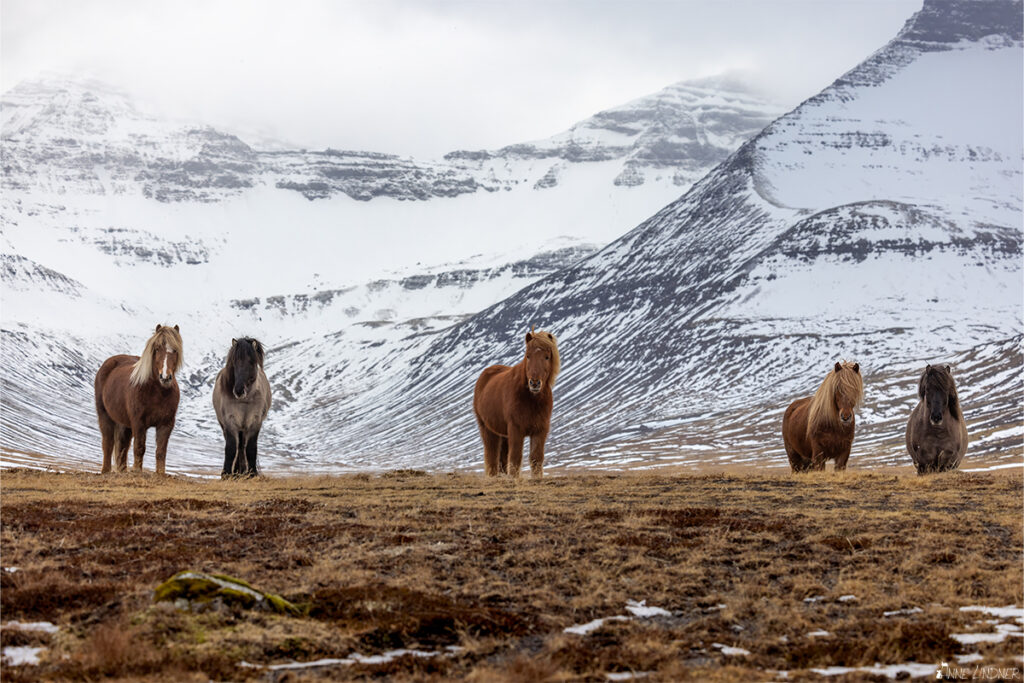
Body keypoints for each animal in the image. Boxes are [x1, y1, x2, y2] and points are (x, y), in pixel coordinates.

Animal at [93, 323, 183, 473]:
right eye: (157, 349)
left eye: (175, 350)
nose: (165, 377)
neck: (157, 393)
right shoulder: (138, 422)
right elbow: (139, 448)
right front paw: (137, 471)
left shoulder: (166, 424)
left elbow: (161, 452)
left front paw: (160, 474)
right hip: (105, 415)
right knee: (108, 443)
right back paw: (105, 471)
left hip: (124, 423)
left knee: (122, 446)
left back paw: (122, 471)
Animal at [212, 337, 272, 479]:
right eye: (234, 361)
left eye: (251, 362)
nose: (238, 390)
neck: (245, 401)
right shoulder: (230, 422)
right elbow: (231, 448)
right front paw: (226, 474)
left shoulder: (255, 422)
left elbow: (251, 448)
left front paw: (252, 474)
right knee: (238, 446)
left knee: (242, 446)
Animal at [471, 327, 561, 479]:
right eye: (528, 356)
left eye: (547, 357)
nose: (534, 383)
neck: (532, 400)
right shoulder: (516, 429)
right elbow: (515, 457)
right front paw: (514, 478)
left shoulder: (541, 430)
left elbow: (536, 458)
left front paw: (537, 478)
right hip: (487, 429)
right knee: (492, 455)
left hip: (504, 433)